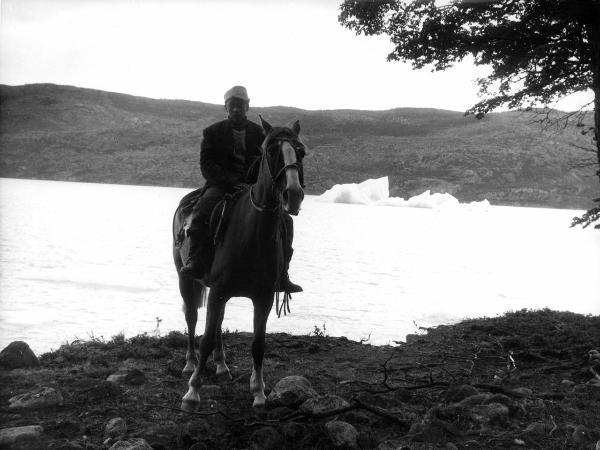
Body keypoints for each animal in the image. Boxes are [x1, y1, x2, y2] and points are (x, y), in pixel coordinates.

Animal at [171, 117, 308, 412]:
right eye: (270, 151)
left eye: (301, 152)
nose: (292, 195)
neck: (252, 236)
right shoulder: (218, 292)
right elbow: (206, 339)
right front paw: (192, 392)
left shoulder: (262, 297)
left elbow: (258, 343)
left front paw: (258, 392)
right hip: (185, 278)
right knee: (192, 317)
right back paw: (190, 363)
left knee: (218, 324)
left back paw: (222, 366)